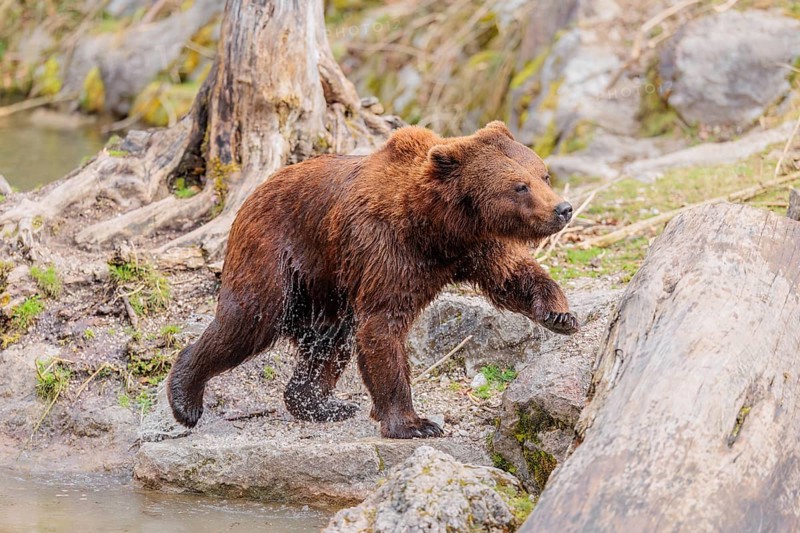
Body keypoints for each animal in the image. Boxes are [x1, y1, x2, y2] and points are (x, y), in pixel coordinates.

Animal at [167, 120, 579, 439]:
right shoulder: (386, 247)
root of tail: (252, 194)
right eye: (519, 186)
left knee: (329, 341)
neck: (437, 227)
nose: (563, 208)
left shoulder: (477, 245)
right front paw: (414, 423)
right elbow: (383, 326)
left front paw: (560, 315)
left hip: (327, 286)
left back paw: (321, 404)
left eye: (543, 174)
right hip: (277, 253)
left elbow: (513, 275)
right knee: (248, 320)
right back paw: (185, 398)